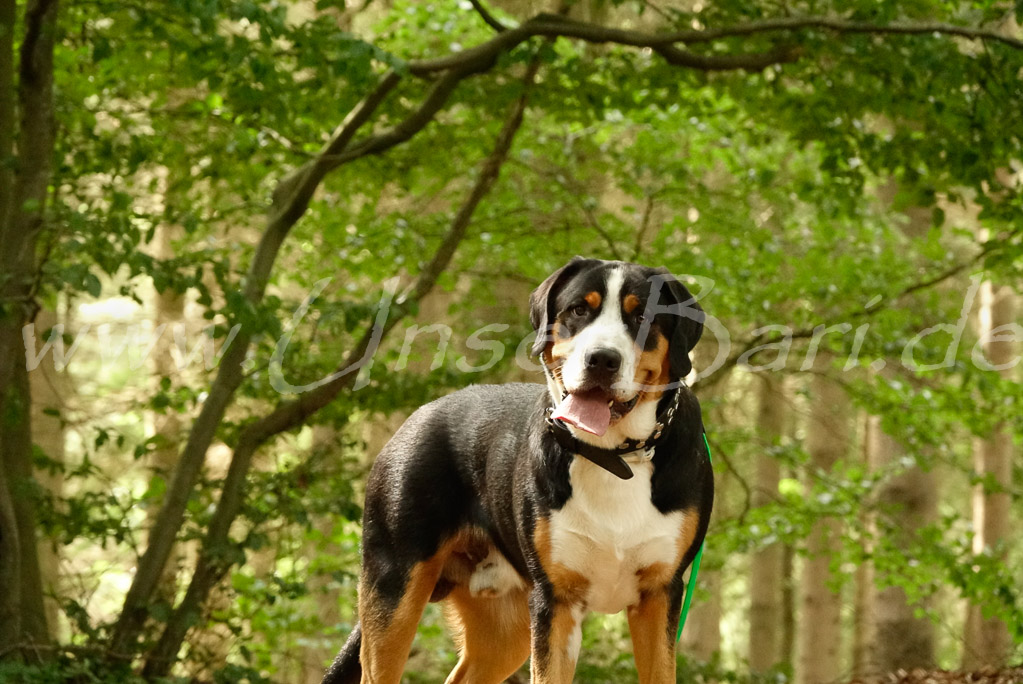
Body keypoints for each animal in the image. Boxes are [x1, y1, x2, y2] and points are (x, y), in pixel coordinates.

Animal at [323, 257, 714, 684]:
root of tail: (418, 416)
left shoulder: (660, 593)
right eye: (579, 309)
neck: (613, 458)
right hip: (394, 588)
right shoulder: (554, 601)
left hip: (502, 630)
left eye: (642, 316)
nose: (602, 359)